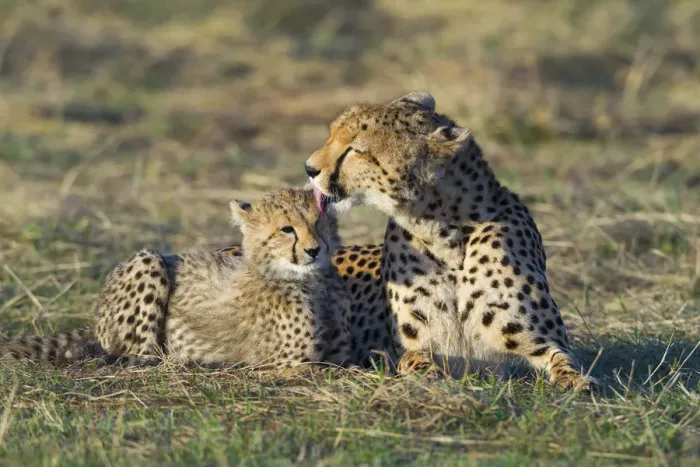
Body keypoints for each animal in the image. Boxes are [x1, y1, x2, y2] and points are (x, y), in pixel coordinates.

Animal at [1, 188, 353, 369]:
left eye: (318, 223)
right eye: (286, 229)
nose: (313, 250)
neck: (312, 283)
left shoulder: (338, 355)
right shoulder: (293, 364)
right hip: (148, 260)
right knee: (135, 356)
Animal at [302, 91, 596, 391]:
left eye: (356, 150)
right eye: (331, 135)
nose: (309, 169)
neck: (446, 237)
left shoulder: (539, 340)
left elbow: (563, 358)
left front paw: (576, 381)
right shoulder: (415, 347)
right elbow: (416, 360)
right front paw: (430, 378)